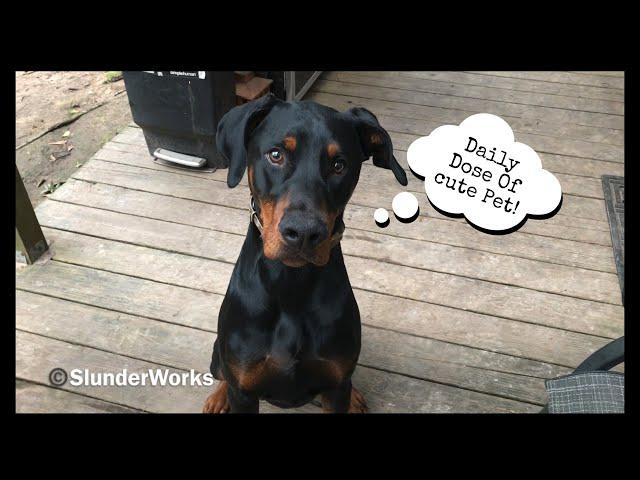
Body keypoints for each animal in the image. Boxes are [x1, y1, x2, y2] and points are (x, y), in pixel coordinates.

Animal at [202, 93, 408, 412]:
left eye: (339, 165)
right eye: (276, 155)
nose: (303, 233)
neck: (291, 284)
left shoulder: (335, 385)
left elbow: (339, 386)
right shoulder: (245, 389)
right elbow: (236, 381)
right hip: (218, 354)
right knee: (222, 373)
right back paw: (218, 397)